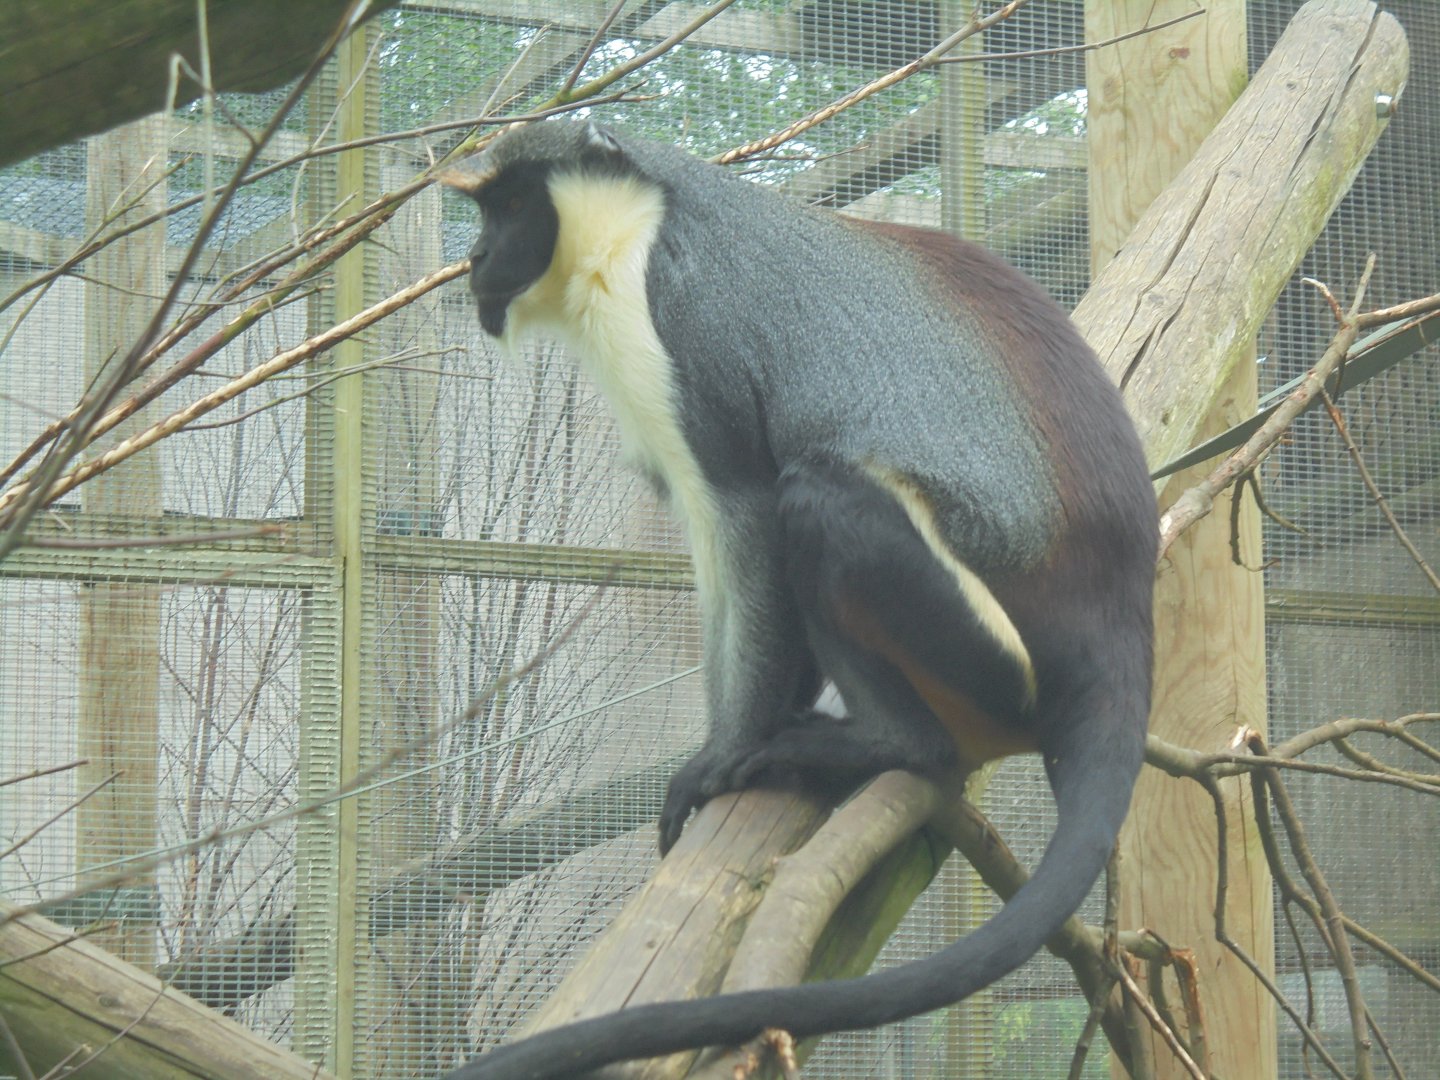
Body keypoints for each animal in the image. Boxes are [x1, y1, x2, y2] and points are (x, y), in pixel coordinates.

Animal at [440, 119, 1155, 1080]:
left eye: (514, 204)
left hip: (994, 649)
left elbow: (746, 514)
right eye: (487, 211)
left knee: (815, 500)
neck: (640, 219)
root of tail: (1121, 609)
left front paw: (722, 752)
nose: (476, 256)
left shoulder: (681, 326)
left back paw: (884, 742)